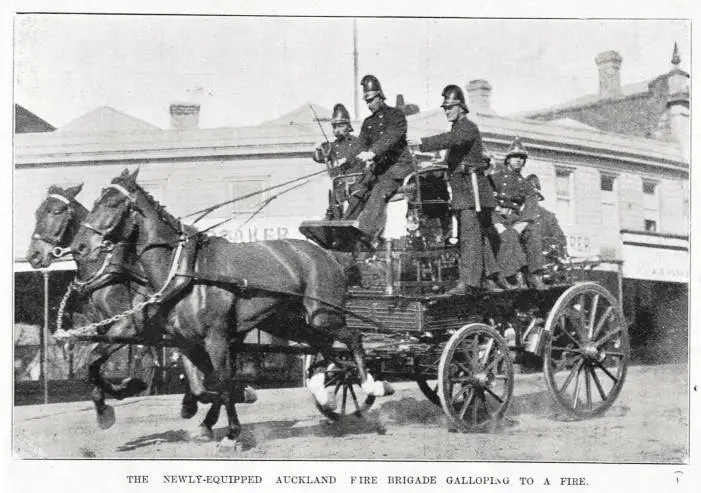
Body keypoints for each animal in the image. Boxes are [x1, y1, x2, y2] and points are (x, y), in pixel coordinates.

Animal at [26, 184, 213, 430]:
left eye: (56, 211)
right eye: (37, 212)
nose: (33, 255)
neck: (108, 272)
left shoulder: (130, 328)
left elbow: (95, 361)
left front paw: (125, 389)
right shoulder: (103, 329)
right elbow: (93, 365)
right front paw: (108, 401)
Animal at [71, 168, 394, 446]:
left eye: (112, 203)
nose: (79, 247)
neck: (184, 271)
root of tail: (329, 256)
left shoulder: (215, 338)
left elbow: (222, 382)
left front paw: (233, 431)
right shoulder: (183, 340)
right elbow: (204, 385)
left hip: (324, 314)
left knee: (353, 339)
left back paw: (370, 385)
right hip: (290, 322)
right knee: (324, 347)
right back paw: (326, 393)